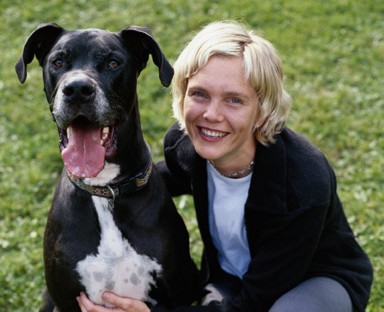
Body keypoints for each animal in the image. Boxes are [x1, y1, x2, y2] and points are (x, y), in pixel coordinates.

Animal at [16, 23, 200, 310]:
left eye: (113, 63)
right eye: (58, 62)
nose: (77, 89)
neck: (106, 191)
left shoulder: (179, 295)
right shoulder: (65, 300)